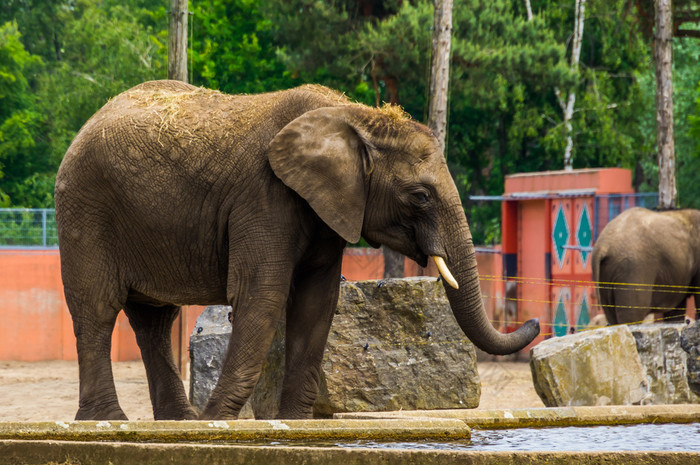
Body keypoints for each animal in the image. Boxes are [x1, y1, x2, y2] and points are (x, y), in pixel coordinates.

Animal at [54, 80, 540, 420]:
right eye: (421, 196)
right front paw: (217, 421)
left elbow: (316, 301)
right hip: (85, 208)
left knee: (154, 320)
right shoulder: (264, 195)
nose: (534, 321)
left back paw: (178, 422)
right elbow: (262, 296)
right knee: (98, 310)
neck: (354, 116)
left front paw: (292, 421)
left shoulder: (325, 206)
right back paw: (110, 420)